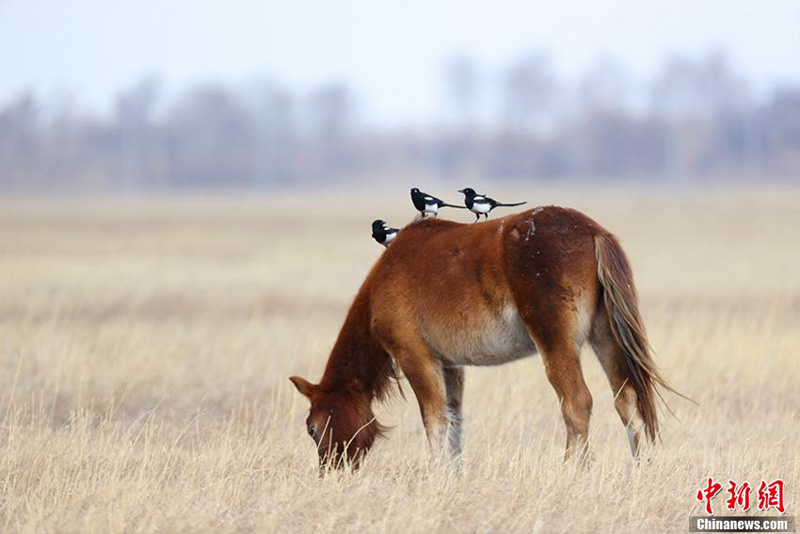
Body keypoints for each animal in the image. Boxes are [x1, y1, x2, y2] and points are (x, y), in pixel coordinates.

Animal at [288, 205, 676, 468]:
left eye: (312, 428)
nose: (330, 472)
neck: (384, 279)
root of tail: (594, 232)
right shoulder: (450, 366)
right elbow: (455, 422)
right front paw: (454, 473)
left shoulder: (416, 358)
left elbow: (434, 421)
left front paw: (434, 475)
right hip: (606, 339)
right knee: (627, 401)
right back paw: (640, 469)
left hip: (558, 346)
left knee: (577, 404)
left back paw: (572, 470)